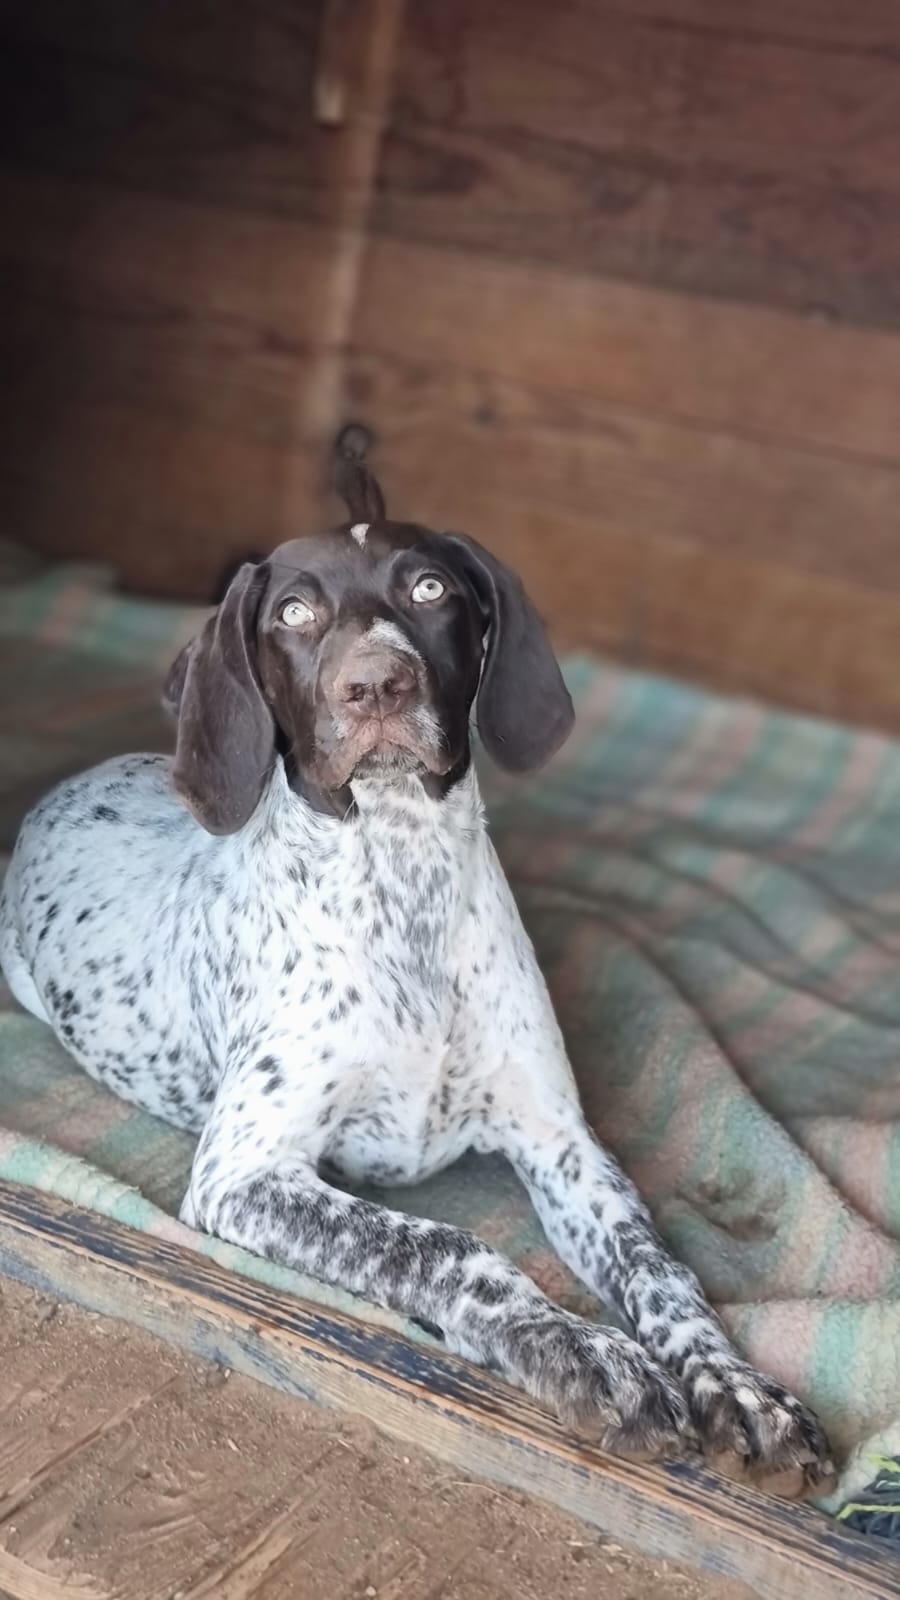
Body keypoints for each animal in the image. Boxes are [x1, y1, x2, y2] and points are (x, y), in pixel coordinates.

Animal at [0, 428, 833, 1494]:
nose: (376, 686)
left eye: (430, 590)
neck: (404, 884)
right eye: (295, 611)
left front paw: (738, 1386)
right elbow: (442, 1244)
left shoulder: (563, 1144)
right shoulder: (243, 1172)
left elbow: (663, 1269)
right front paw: (579, 1347)